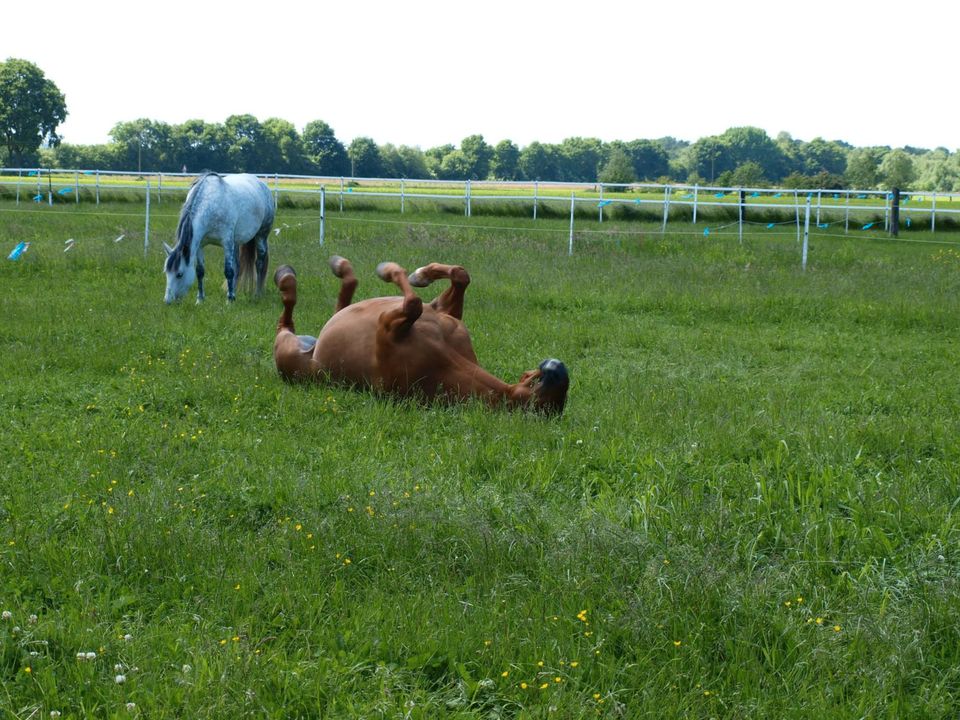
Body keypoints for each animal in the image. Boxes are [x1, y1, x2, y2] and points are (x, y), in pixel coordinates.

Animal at [164, 174, 276, 304]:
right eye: (166, 272)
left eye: (179, 274)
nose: (167, 301)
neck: (210, 206)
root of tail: (262, 184)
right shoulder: (200, 245)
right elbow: (200, 271)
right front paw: (200, 300)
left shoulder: (226, 242)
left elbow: (228, 271)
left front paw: (229, 301)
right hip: (235, 243)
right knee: (237, 266)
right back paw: (234, 292)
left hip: (261, 235)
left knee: (259, 263)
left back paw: (257, 295)